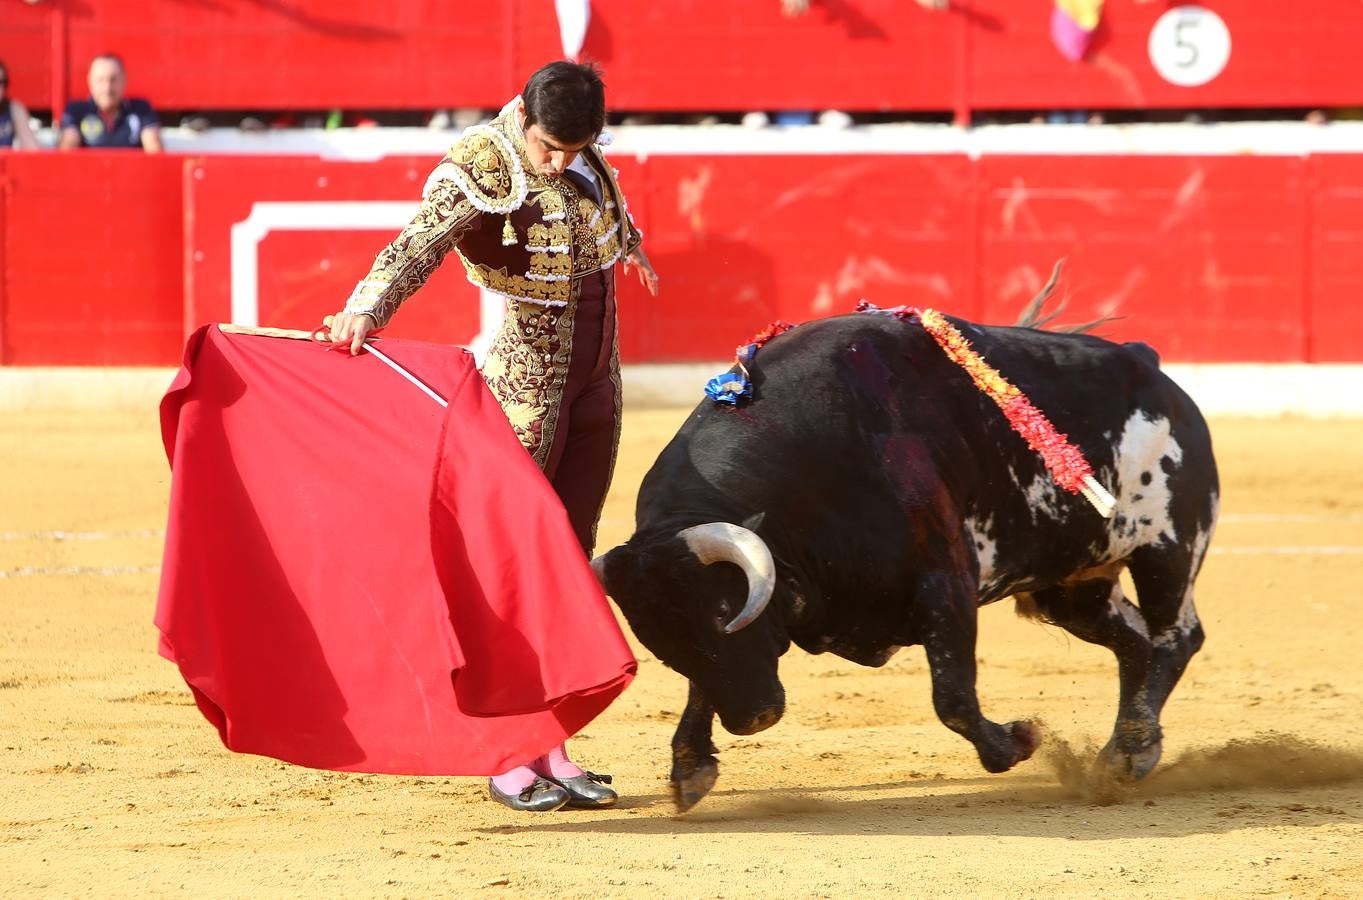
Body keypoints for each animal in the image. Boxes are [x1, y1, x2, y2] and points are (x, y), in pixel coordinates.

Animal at [602, 312, 1221, 812]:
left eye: (723, 612)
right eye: (662, 645)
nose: (753, 718)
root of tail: (1151, 368)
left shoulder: (947, 583)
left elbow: (952, 697)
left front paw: (1018, 741)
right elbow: (701, 683)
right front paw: (690, 767)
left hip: (1168, 547)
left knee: (1175, 637)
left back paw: (1128, 753)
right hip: (1074, 586)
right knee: (1135, 641)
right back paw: (1129, 752)